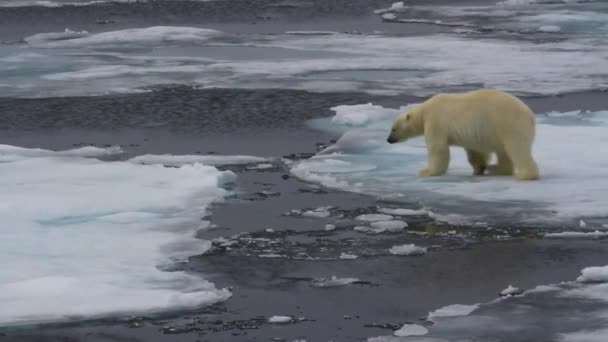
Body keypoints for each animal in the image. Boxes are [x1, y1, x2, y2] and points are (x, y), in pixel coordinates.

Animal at [388, 89, 540, 182]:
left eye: (393, 129)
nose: (388, 140)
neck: (425, 111)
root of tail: (530, 115)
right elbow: (474, 152)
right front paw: (480, 168)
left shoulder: (435, 121)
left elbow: (438, 148)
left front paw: (426, 171)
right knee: (503, 152)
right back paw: (495, 168)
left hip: (509, 124)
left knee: (517, 148)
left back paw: (524, 174)